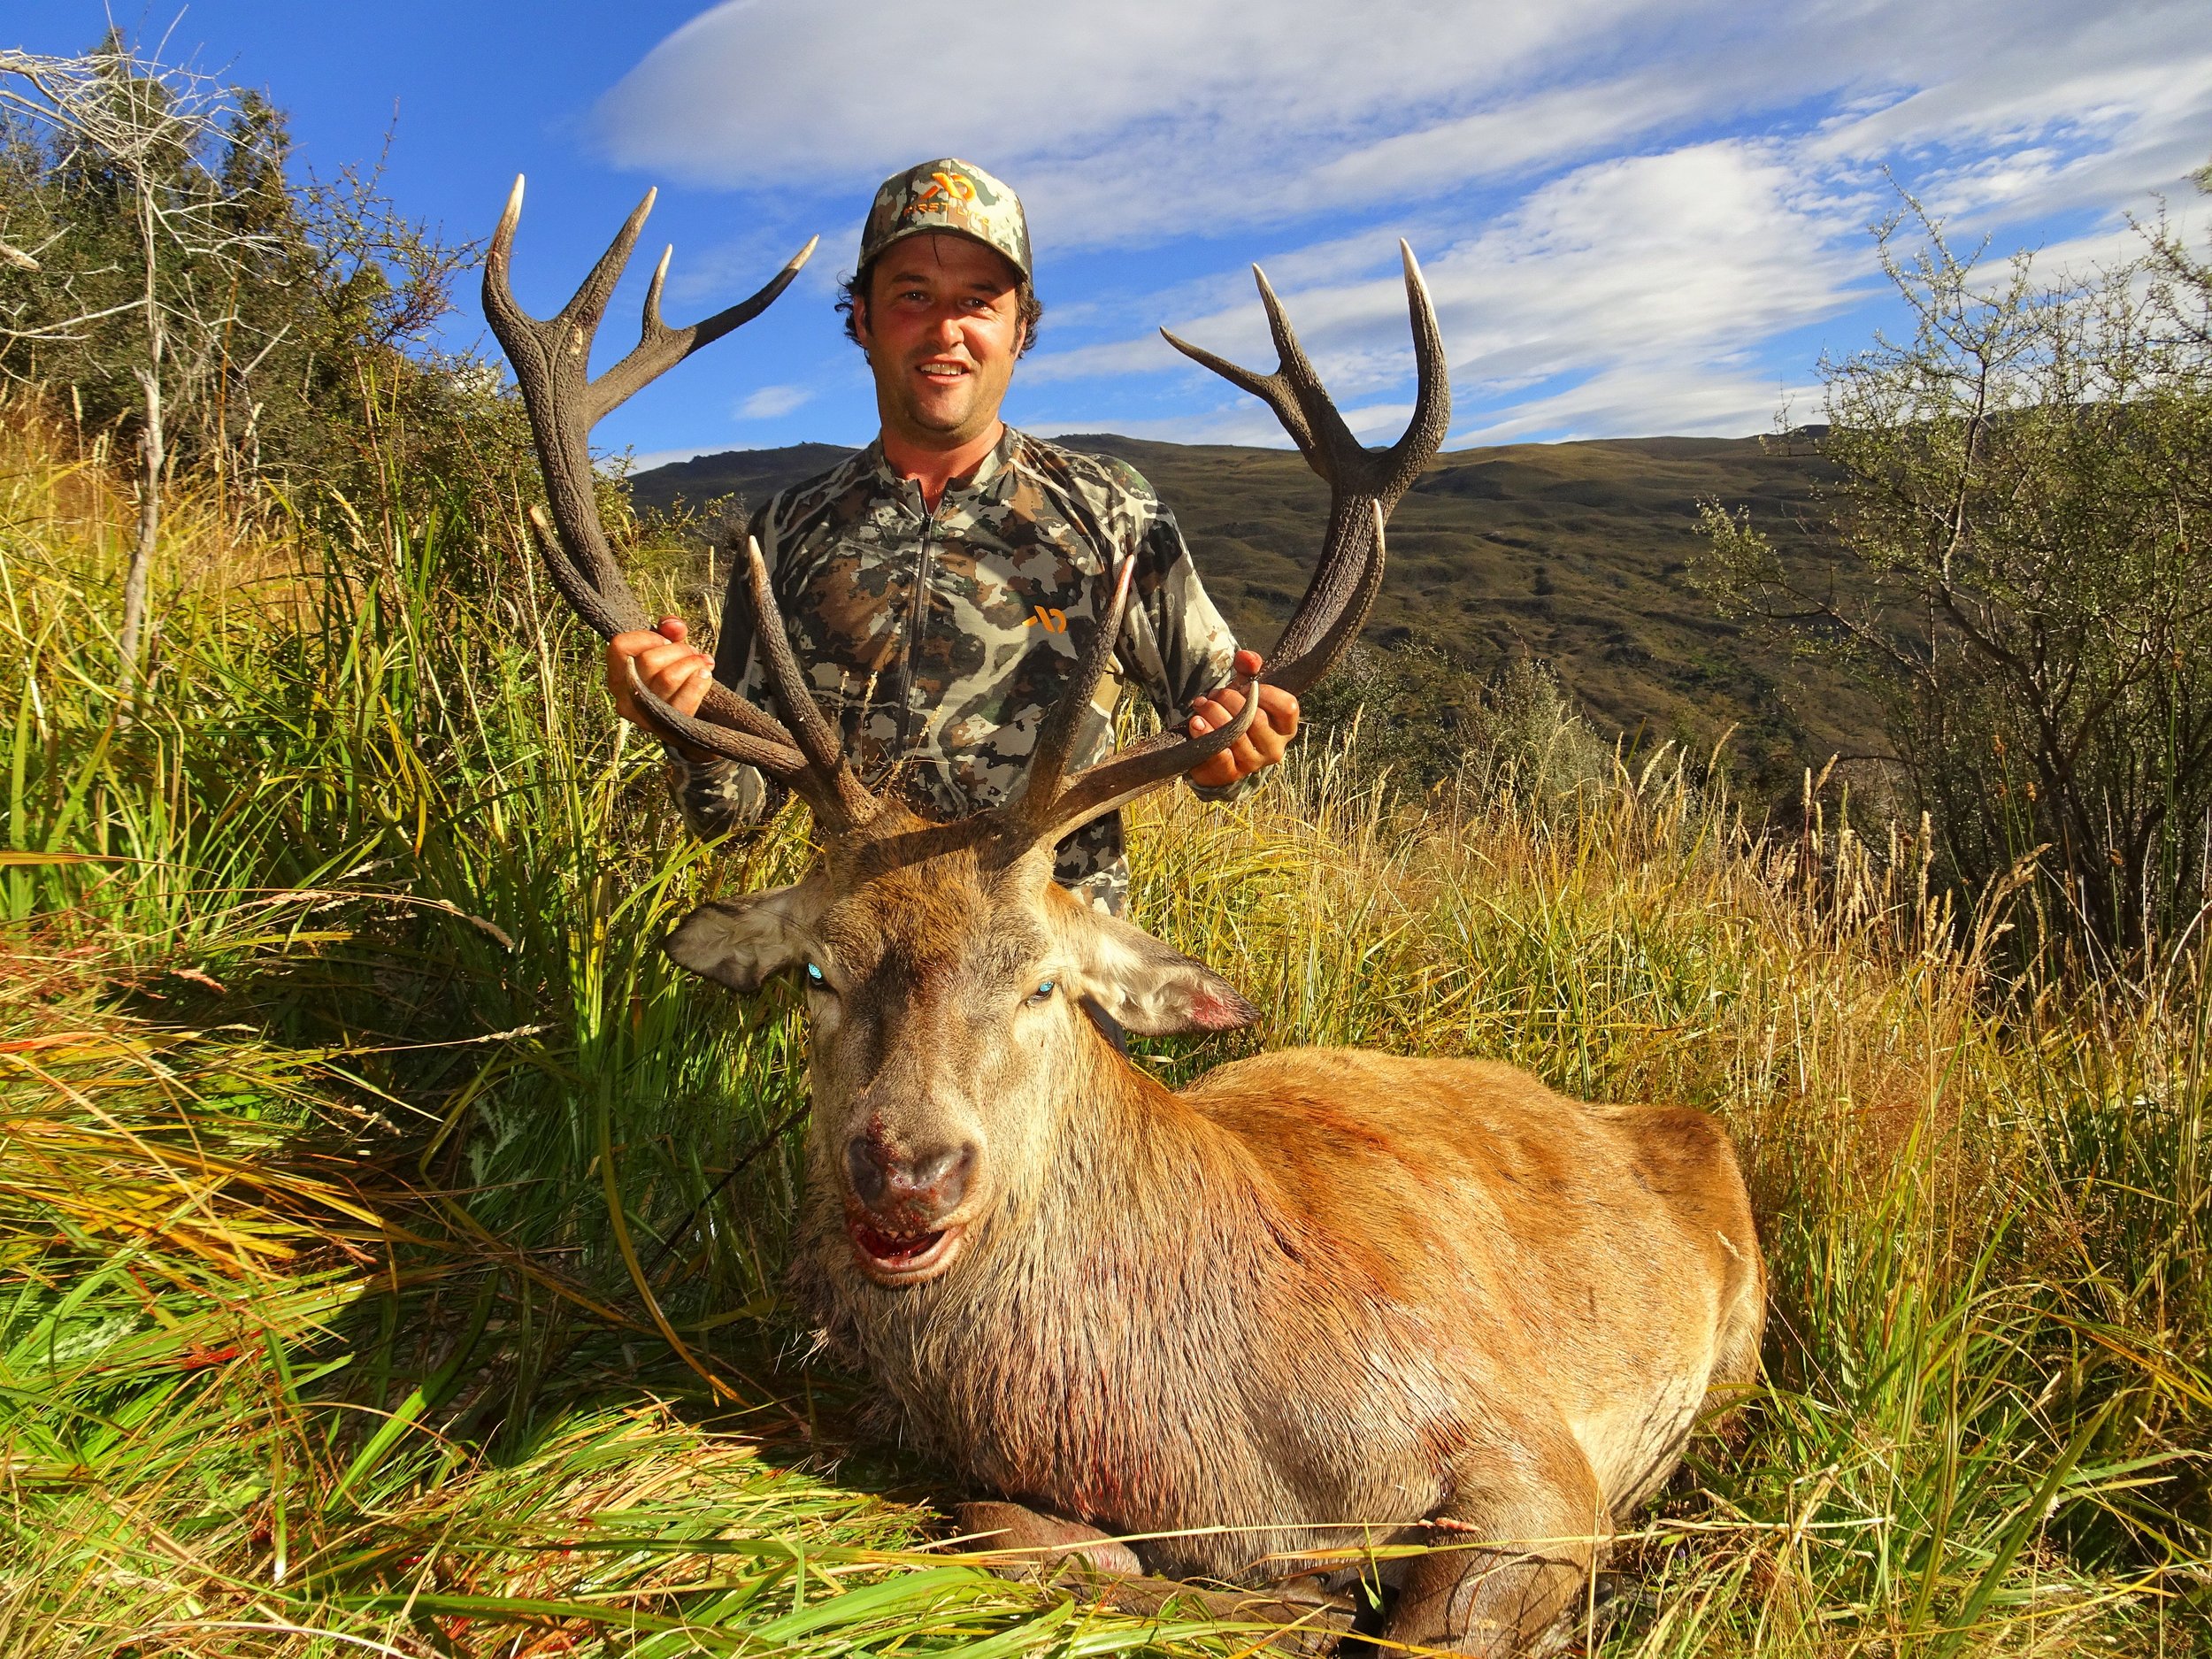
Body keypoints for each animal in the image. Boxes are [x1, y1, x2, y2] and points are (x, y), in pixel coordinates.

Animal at [484, 177, 1767, 1658]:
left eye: (1045, 982)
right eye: (815, 970)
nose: (907, 1165)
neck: (1208, 1454)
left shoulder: (1528, 1441)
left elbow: (1431, 1619)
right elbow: (1006, 1523)